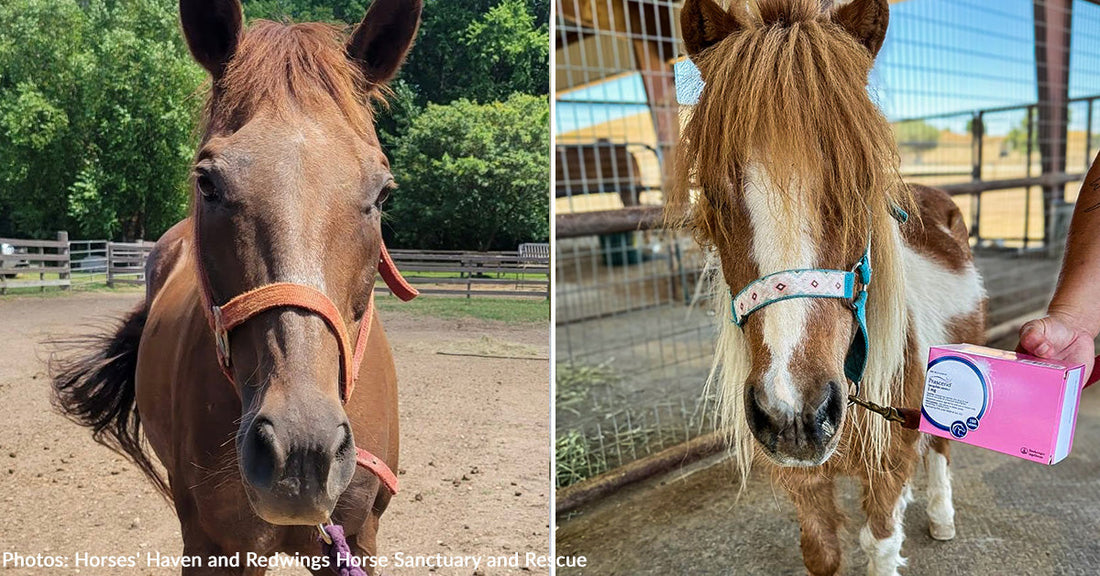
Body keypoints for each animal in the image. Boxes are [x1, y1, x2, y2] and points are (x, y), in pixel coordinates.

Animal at [670, 0, 986, 574]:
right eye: (713, 193)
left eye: (861, 183)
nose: (794, 413)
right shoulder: (805, 482)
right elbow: (822, 551)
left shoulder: (887, 465)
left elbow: (881, 544)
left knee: (940, 451)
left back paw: (941, 516)